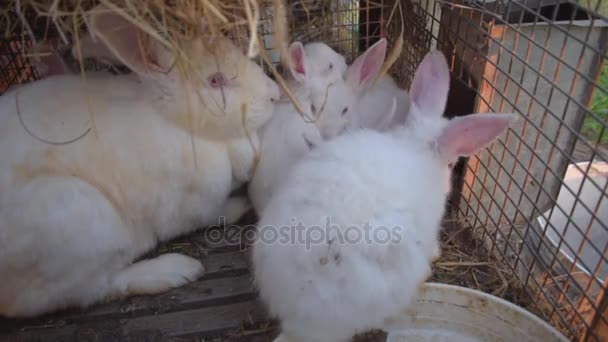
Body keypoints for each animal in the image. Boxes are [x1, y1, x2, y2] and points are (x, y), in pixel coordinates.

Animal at [0, 3, 280, 318]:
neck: (178, 123)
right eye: (215, 80)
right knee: (90, 290)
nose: (274, 94)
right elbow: (217, 213)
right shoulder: (193, 205)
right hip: (81, 224)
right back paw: (175, 270)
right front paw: (241, 202)